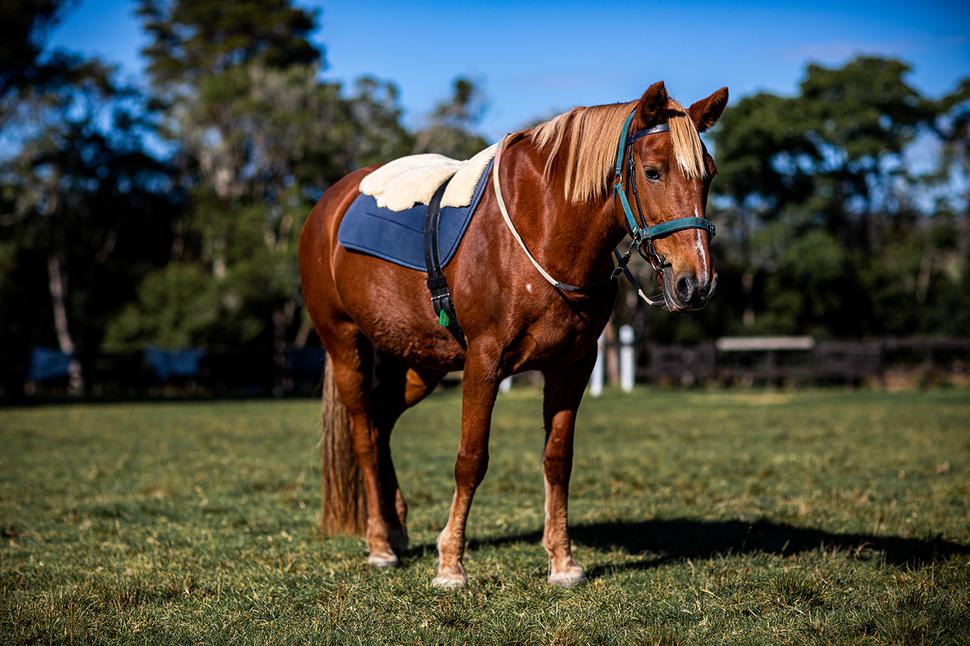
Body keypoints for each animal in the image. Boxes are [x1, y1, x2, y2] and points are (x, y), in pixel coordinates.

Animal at [298, 79, 728, 588]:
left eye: (709, 175)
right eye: (653, 171)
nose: (695, 283)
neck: (542, 227)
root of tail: (331, 203)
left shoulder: (573, 365)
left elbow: (557, 460)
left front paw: (562, 561)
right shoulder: (483, 362)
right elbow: (470, 460)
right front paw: (451, 564)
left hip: (420, 360)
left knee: (381, 423)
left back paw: (396, 527)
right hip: (346, 345)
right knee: (364, 435)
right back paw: (380, 543)